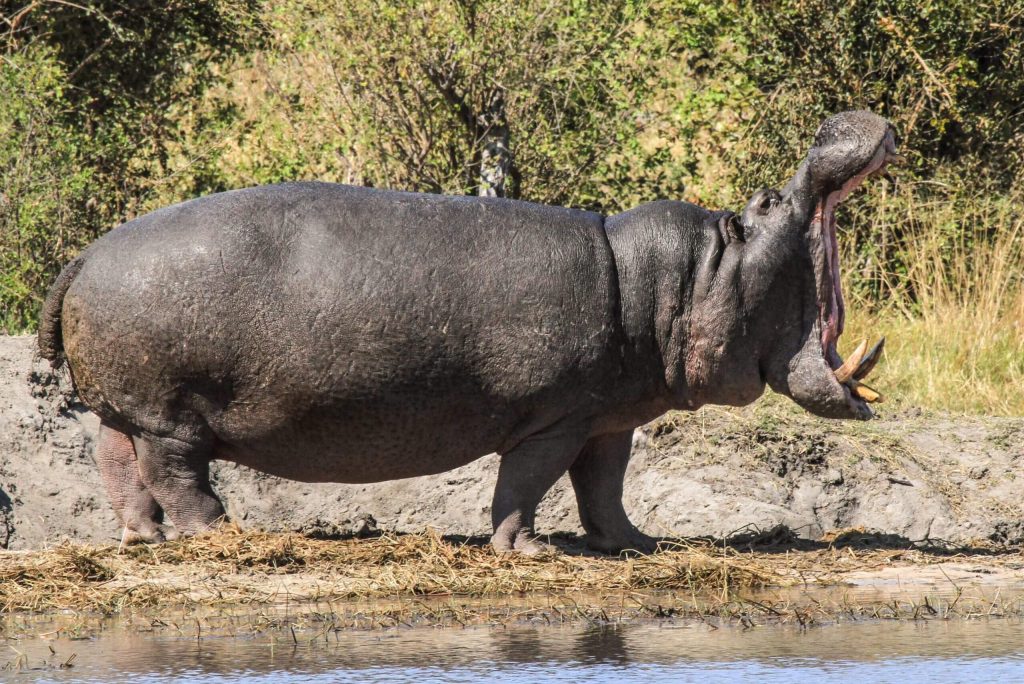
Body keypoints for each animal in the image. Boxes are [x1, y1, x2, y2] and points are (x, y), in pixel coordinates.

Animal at [37, 111, 900, 554]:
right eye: (764, 202)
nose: (844, 120)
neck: (681, 281)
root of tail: (83, 255)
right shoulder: (554, 416)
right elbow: (525, 483)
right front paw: (527, 552)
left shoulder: (608, 416)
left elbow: (604, 486)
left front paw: (635, 543)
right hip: (171, 410)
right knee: (176, 471)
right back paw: (222, 534)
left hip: (127, 405)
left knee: (118, 462)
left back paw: (144, 538)